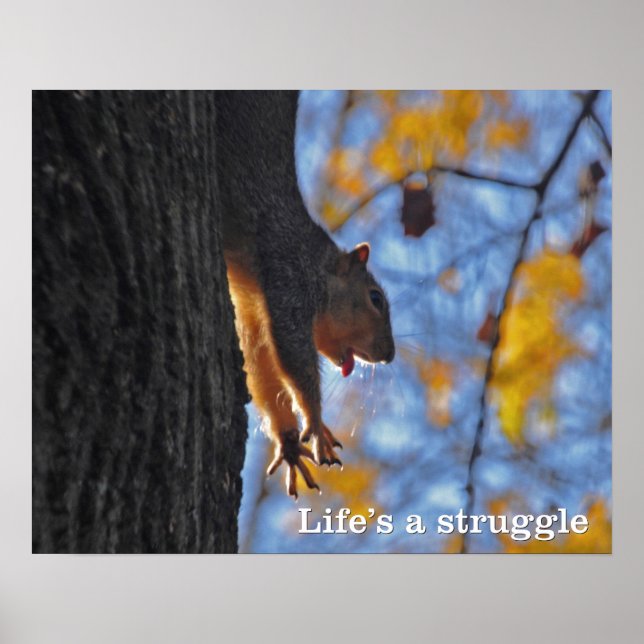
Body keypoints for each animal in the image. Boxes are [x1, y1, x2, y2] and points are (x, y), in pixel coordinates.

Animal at [215, 91, 395, 498]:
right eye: (375, 299)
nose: (389, 355)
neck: (315, 264)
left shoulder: (254, 312)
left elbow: (260, 367)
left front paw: (289, 442)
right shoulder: (290, 284)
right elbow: (293, 355)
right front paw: (314, 420)